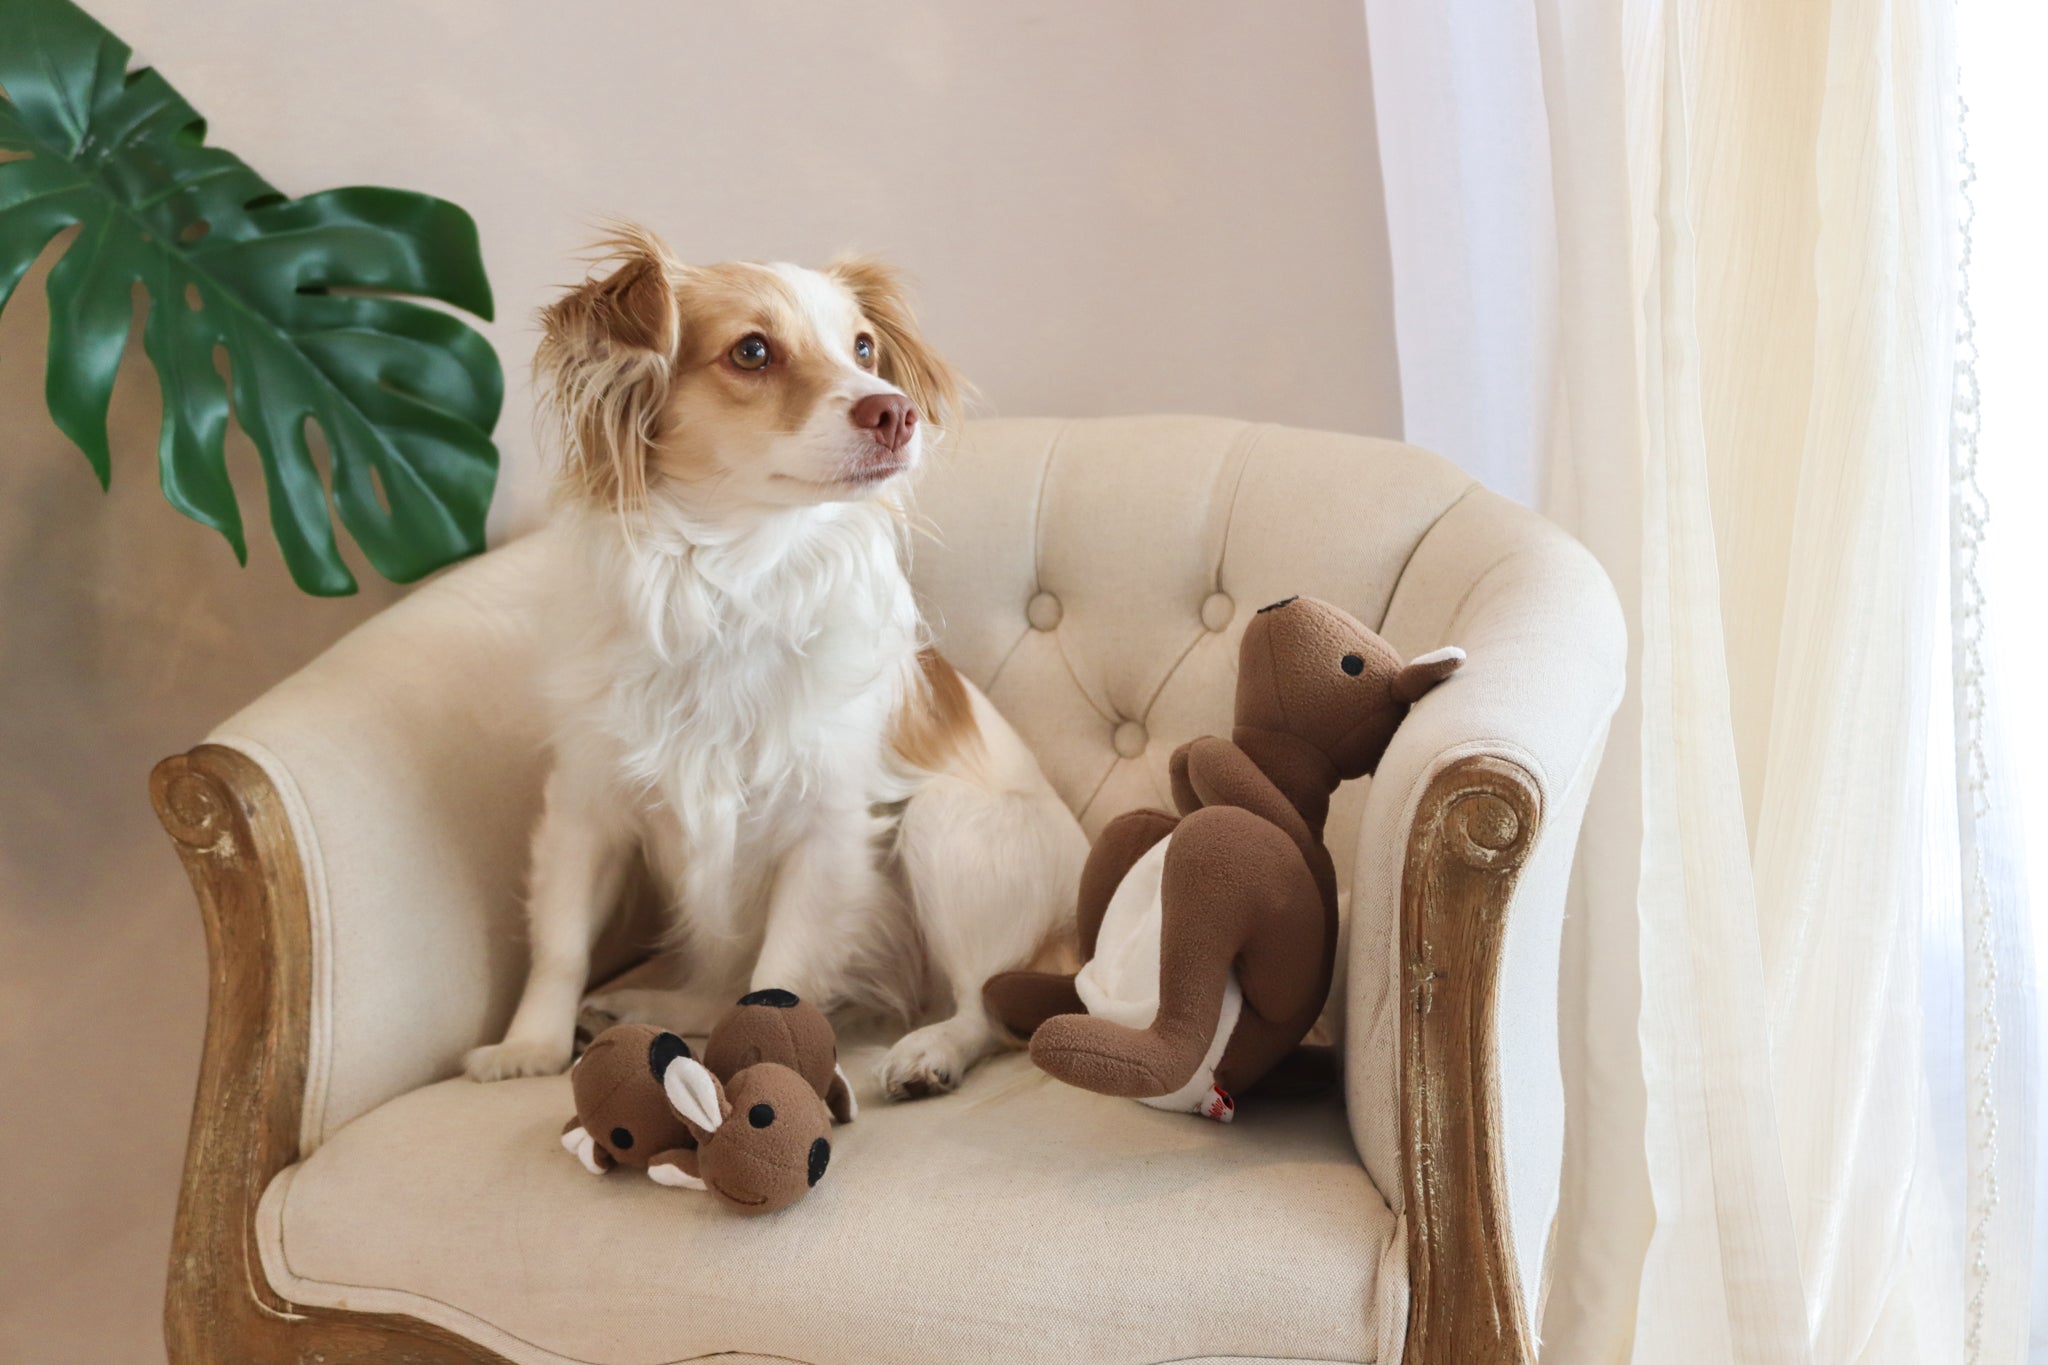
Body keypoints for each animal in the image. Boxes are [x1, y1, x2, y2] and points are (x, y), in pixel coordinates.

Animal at [464, 224, 1089, 1096]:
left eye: (864, 348)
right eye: (752, 351)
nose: (894, 410)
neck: (732, 574)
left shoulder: (825, 831)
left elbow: (780, 976)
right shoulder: (587, 805)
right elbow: (561, 939)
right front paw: (531, 1045)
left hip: (945, 824)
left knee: (987, 1005)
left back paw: (930, 1050)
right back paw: (642, 1004)